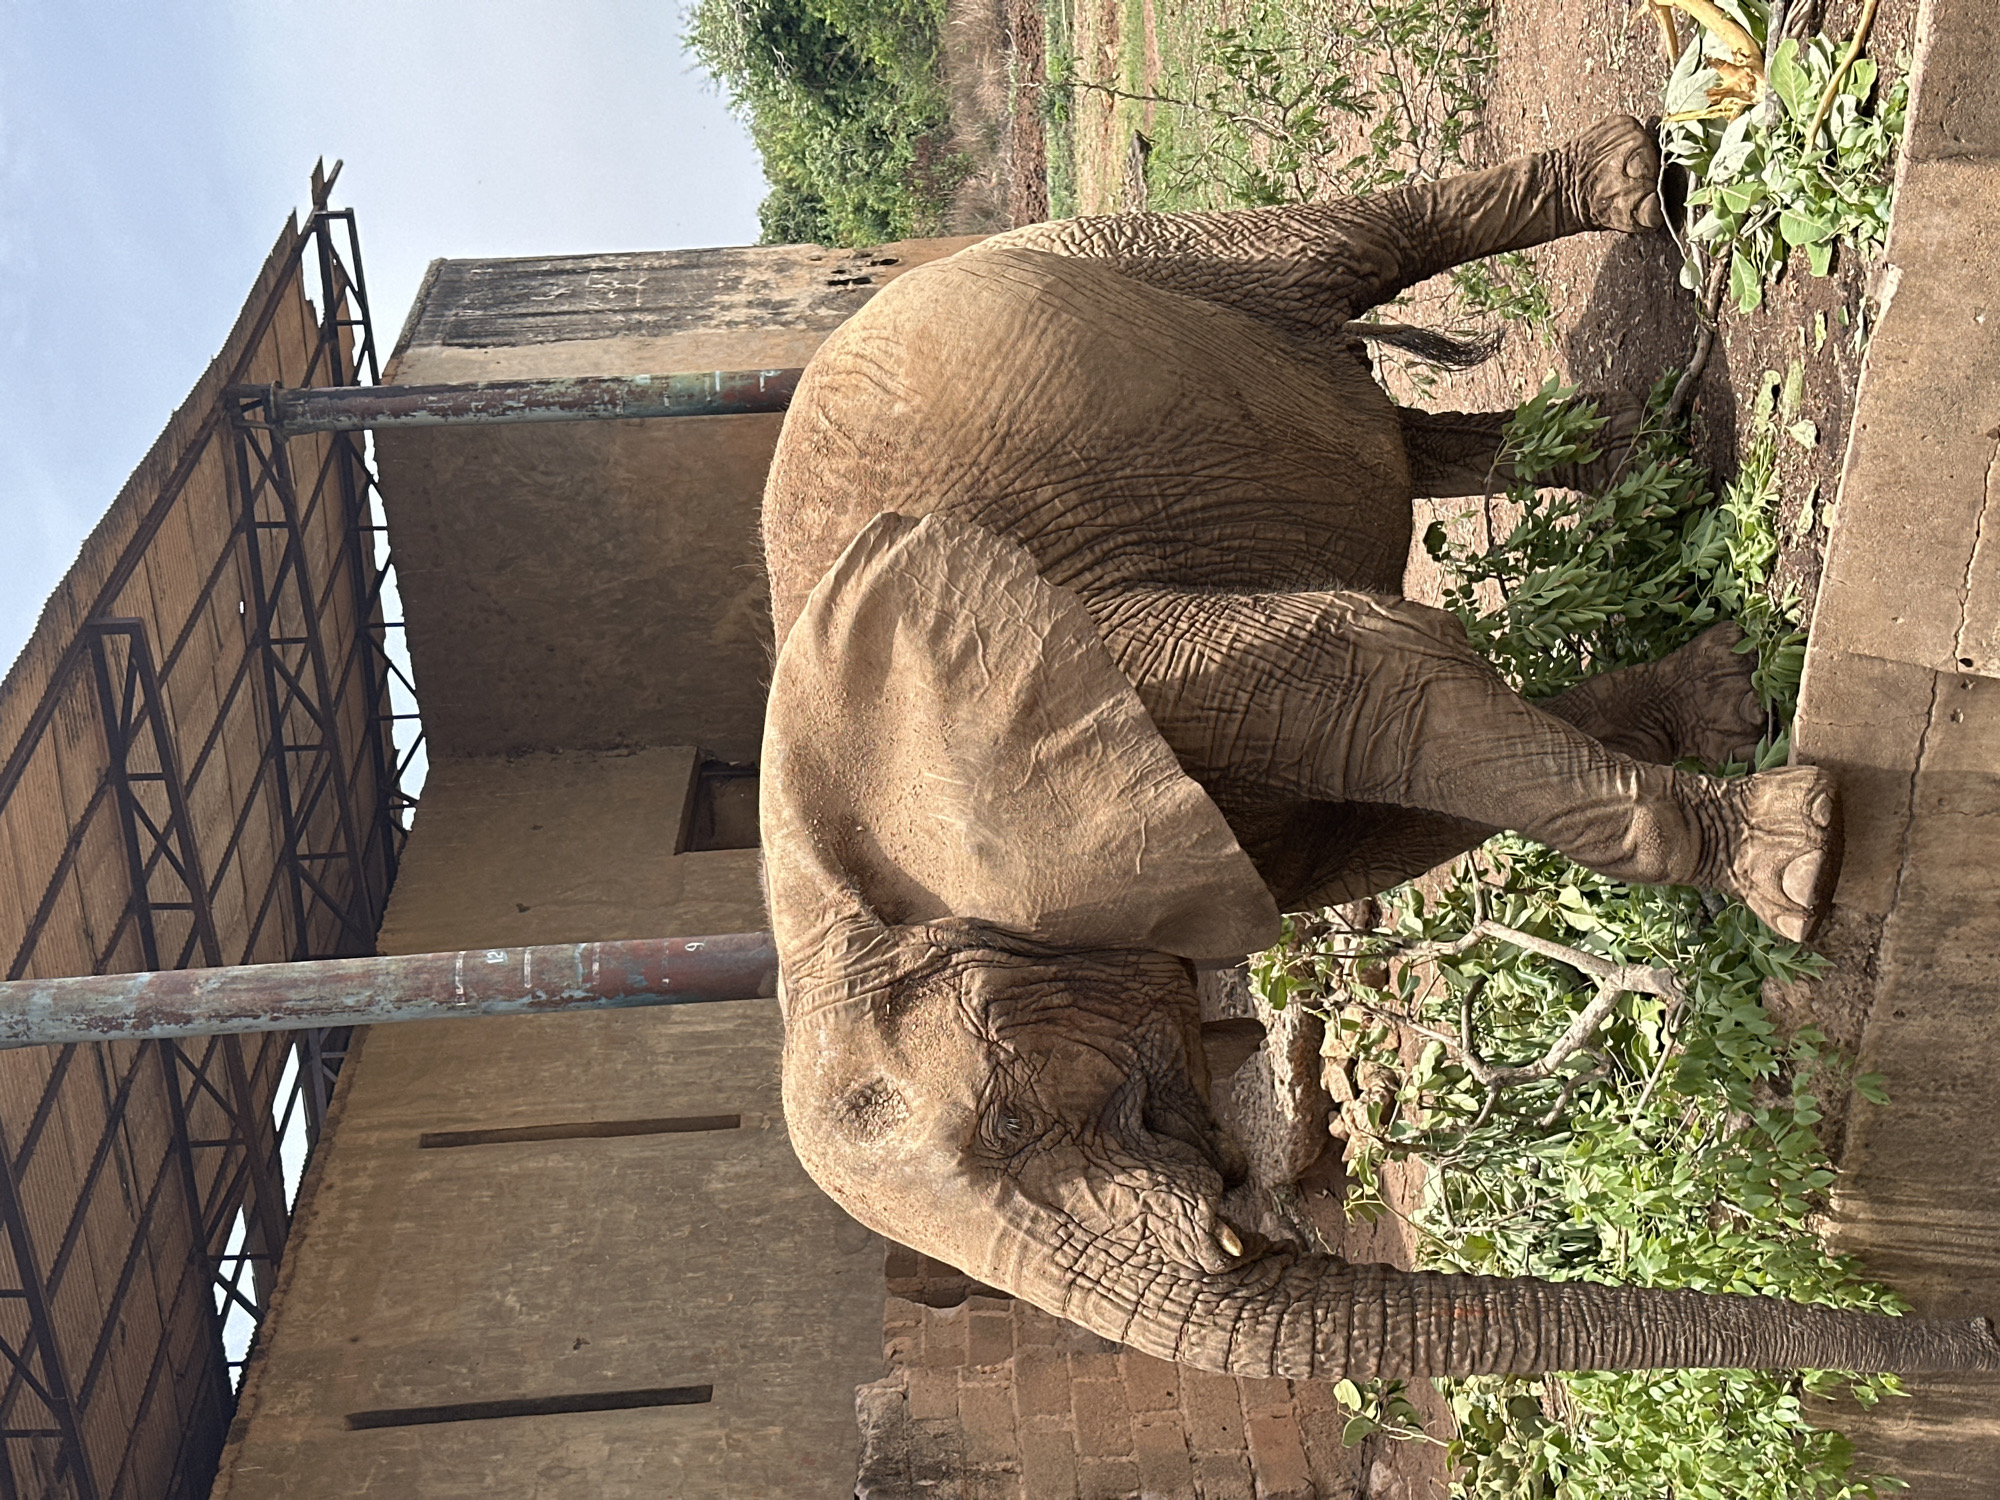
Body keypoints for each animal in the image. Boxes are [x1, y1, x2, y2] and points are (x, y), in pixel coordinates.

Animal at [756, 115, 2000, 1380]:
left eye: (1007, 1120)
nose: (1973, 1333)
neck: (835, 893)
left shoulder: (1121, 643)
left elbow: (1377, 677)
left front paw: (1790, 871)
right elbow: (1373, 829)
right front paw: (1727, 705)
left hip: (1129, 249)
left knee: (1331, 258)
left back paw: (1629, 182)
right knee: (1399, 434)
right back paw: (1649, 460)